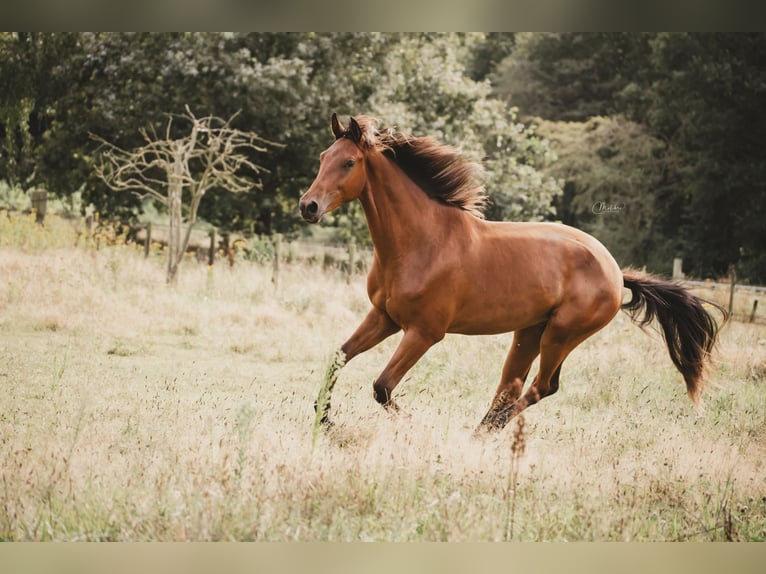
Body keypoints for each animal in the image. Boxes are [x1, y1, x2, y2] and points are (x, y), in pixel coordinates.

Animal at [296, 115, 728, 434]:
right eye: (322, 156)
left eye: (349, 162)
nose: (308, 206)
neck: (421, 242)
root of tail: (617, 274)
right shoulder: (383, 317)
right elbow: (338, 357)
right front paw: (325, 419)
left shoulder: (424, 332)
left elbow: (382, 388)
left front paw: (411, 422)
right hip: (529, 332)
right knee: (511, 385)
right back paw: (480, 433)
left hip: (561, 335)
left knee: (541, 387)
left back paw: (487, 431)